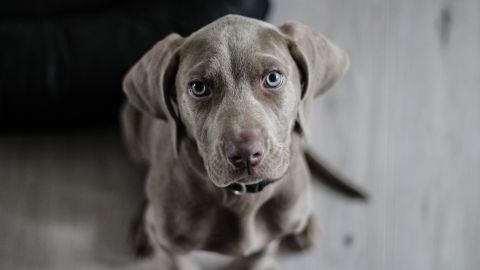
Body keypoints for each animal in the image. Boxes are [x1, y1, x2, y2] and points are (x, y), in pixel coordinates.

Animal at [122, 14, 358, 270]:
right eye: (198, 87)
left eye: (273, 78)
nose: (246, 154)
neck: (243, 198)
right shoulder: (173, 246)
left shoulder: (268, 240)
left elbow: (257, 258)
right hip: (129, 123)